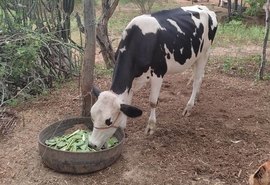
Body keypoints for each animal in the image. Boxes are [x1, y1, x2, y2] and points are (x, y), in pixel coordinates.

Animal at [89, 4, 218, 149]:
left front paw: (150, 127)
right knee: (199, 76)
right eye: (92, 115)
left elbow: (152, 102)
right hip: (194, 56)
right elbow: (127, 102)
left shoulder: (158, 73)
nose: (91, 144)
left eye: (108, 121)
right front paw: (124, 127)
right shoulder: (132, 80)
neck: (140, 42)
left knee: (197, 80)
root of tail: (205, 8)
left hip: (205, 53)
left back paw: (189, 107)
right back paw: (195, 99)